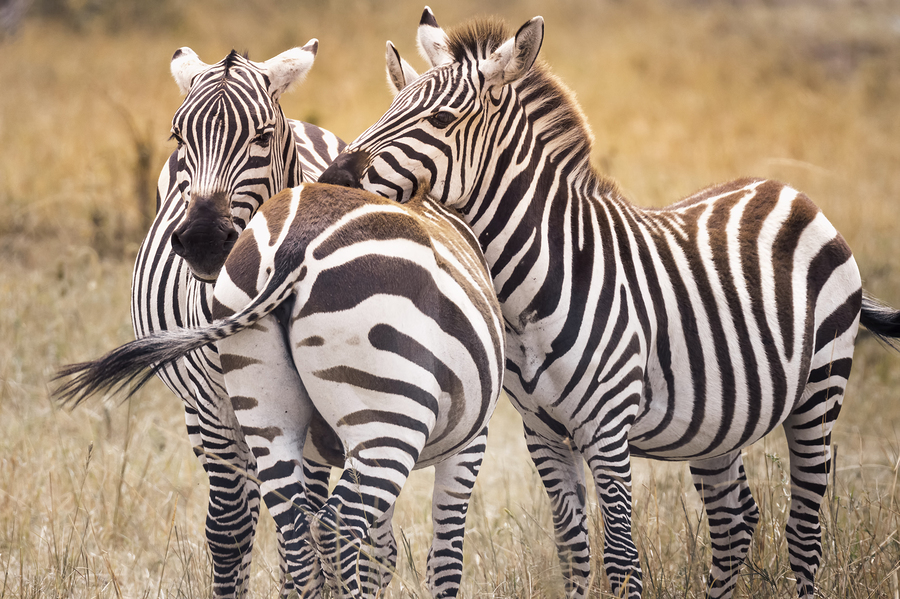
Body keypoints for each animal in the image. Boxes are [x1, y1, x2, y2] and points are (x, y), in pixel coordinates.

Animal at [56, 182, 506, 596]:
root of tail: (293, 244)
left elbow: (382, 553)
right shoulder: (472, 440)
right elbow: (444, 558)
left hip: (267, 411)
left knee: (296, 536)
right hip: (388, 418)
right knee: (335, 529)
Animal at [316, 10, 900, 599]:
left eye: (441, 118)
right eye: (389, 107)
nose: (332, 179)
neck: (530, 293)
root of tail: (786, 190)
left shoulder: (607, 429)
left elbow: (621, 560)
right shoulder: (543, 434)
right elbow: (574, 553)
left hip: (821, 388)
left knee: (803, 528)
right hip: (720, 421)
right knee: (734, 521)